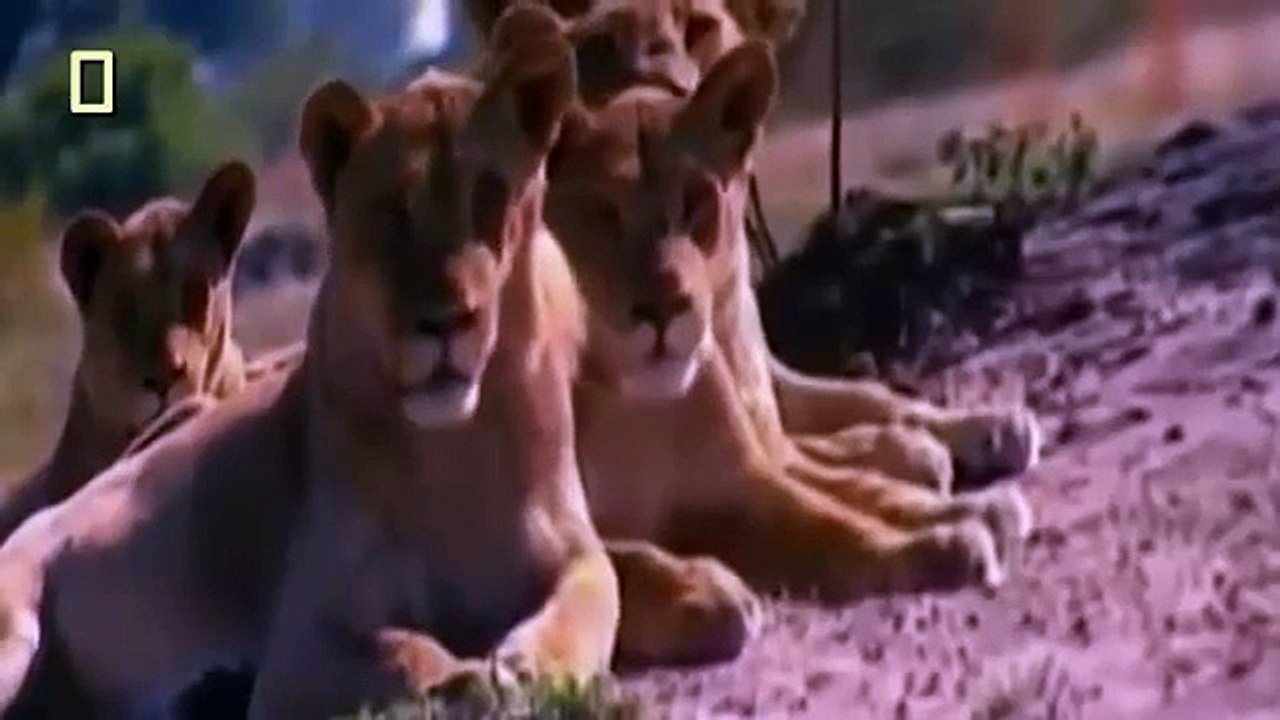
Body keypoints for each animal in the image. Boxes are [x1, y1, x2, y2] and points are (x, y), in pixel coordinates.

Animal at [543, 41, 1036, 647]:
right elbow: (619, 562)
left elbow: (835, 515)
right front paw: (697, 590)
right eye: (601, 215)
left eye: (695, 202)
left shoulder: (737, 480)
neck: (634, 407)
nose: (664, 308)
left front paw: (938, 534)